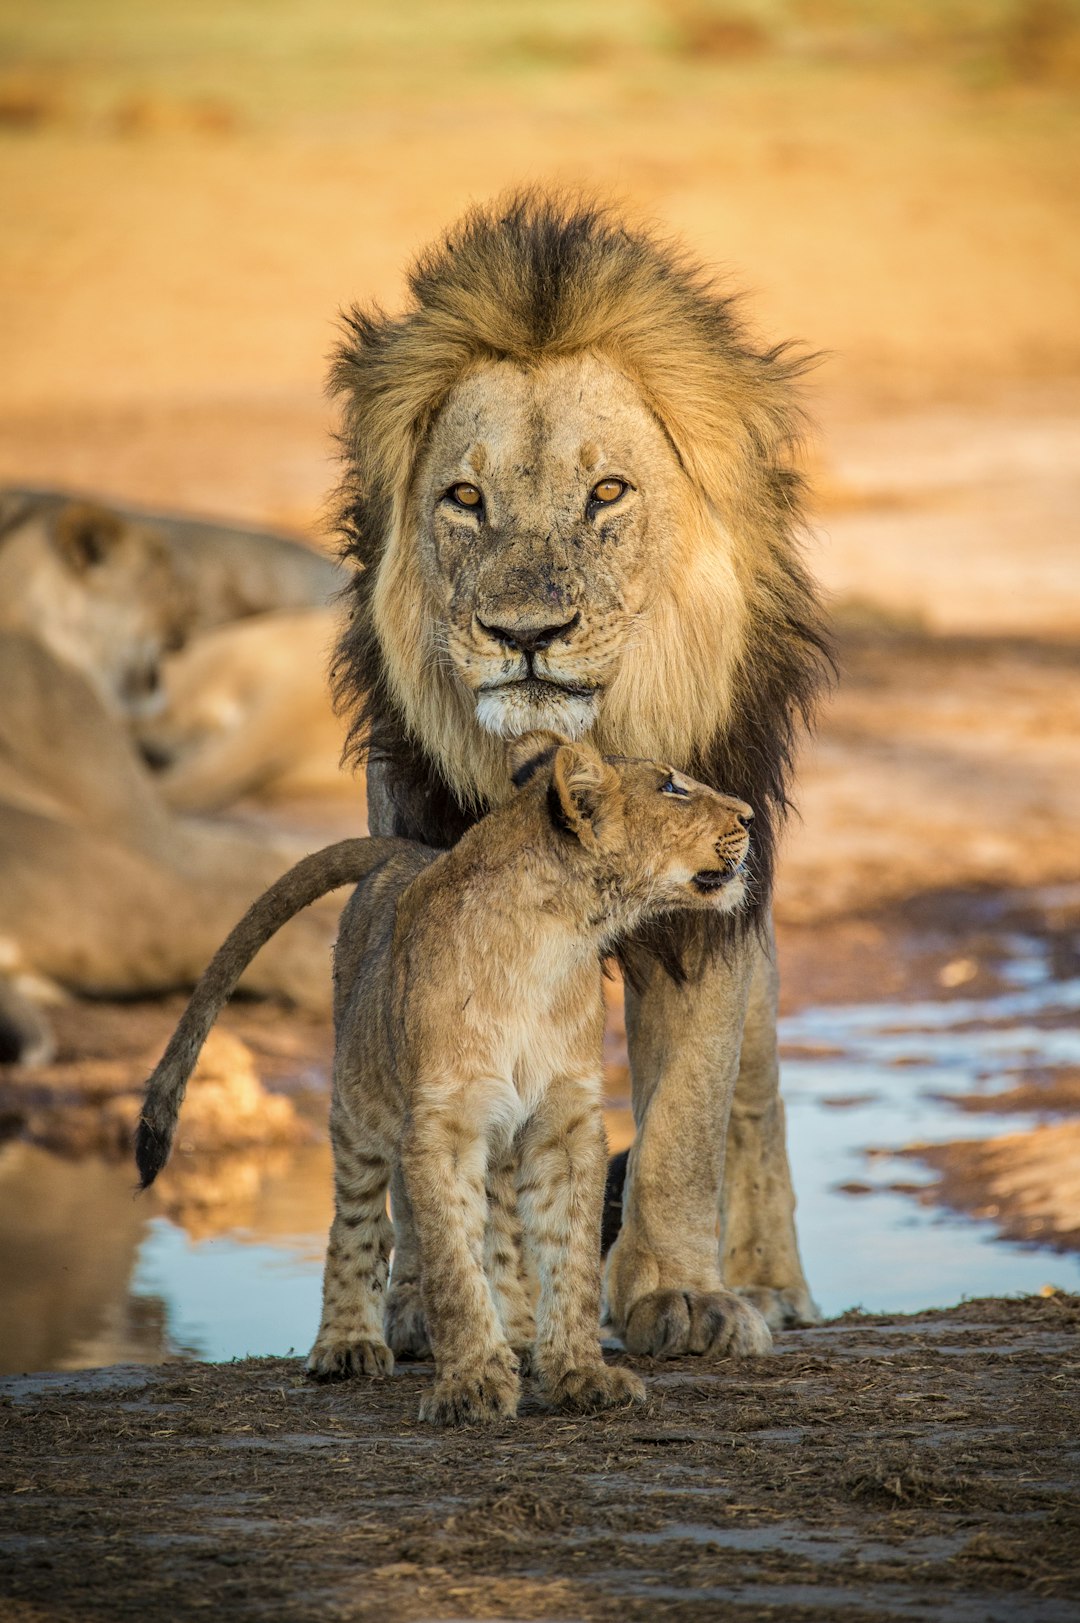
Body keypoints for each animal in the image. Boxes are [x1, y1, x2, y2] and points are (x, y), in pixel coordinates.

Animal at [135, 732, 758, 1423]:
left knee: (502, 1234)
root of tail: (406, 852)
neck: (551, 943)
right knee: (362, 1221)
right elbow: (453, 1266)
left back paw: (519, 1336)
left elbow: (567, 1258)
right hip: (359, 1104)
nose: (751, 816)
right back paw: (347, 1343)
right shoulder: (442, 1125)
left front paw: (578, 1373)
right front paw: (472, 1384)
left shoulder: (565, 1124)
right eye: (672, 787)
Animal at [328, 193, 832, 1354]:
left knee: (758, 1091)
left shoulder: (708, 902)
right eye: (465, 498)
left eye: (607, 492)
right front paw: (436, 1303)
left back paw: (772, 1282)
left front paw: (682, 1295)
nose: (525, 633)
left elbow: (688, 1112)